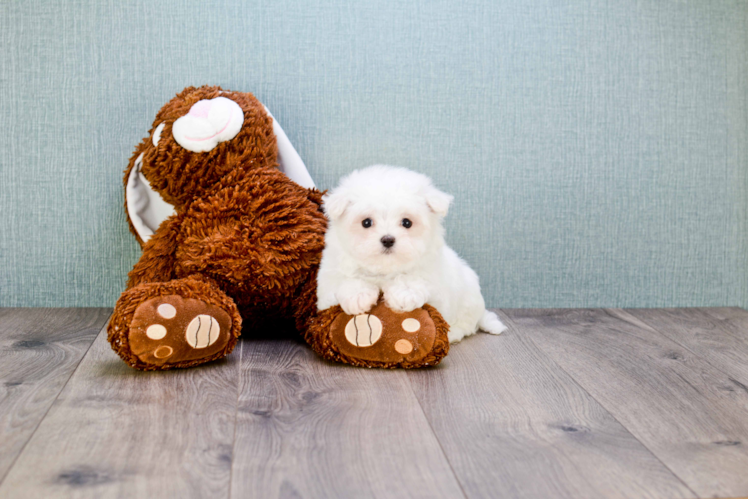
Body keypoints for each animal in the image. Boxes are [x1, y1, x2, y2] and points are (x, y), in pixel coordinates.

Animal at [316, 166, 508, 342]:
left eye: (407, 222)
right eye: (366, 222)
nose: (388, 239)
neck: (384, 269)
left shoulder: (432, 275)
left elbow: (414, 277)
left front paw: (404, 294)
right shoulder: (329, 277)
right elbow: (346, 280)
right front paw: (358, 296)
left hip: (468, 296)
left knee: (466, 325)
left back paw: (453, 333)